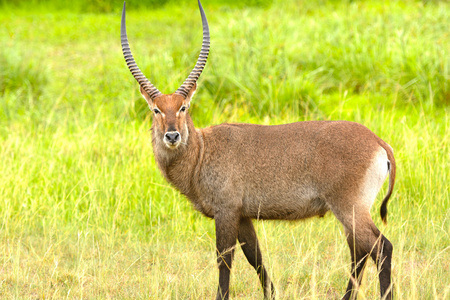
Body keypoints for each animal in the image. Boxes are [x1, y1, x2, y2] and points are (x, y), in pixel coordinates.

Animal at [121, 1, 396, 298]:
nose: (172, 135)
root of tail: (378, 141)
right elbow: (256, 258)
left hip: (350, 207)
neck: (202, 152)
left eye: (183, 107)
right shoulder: (243, 216)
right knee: (360, 252)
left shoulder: (226, 211)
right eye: (156, 109)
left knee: (381, 248)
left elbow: (224, 259)